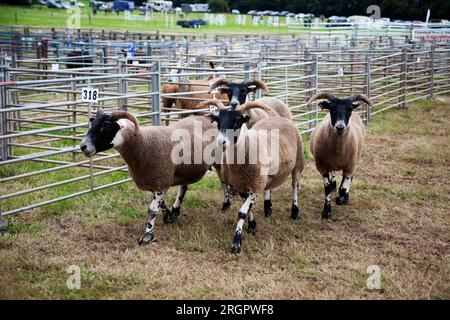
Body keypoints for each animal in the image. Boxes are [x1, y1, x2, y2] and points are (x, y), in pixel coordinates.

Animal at [79, 109, 223, 245]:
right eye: (92, 123)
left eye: (106, 126)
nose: (83, 146)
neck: (142, 142)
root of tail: (205, 118)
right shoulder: (157, 183)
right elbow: (162, 204)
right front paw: (168, 216)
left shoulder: (160, 183)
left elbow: (152, 210)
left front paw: (147, 235)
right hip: (186, 169)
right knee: (183, 188)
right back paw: (176, 210)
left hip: (218, 161)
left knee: (223, 183)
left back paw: (225, 205)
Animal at [200, 99, 306, 254]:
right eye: (218, 121)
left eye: (238, 122)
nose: (221, 142)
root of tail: (280, 118)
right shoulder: (242, 186)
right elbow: (248, 208)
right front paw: (252, 225)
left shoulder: (255, 186)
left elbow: (242, 211)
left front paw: (236, 243)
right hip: (266, 175)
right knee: (269, 186)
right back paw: (268, 208)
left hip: (297, 164)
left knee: (295, 186)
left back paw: (294, 211)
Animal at [308, 91, 374, 219]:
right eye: (332, 109)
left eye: (349, 110)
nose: (340, 127)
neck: (338, 152)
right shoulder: (322, 167)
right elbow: (327, 188)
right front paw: (327, 212)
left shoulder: (350, 166)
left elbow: (343, 188)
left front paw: (341, 199)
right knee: (333, 176)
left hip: (354, 160)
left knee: (348, 179)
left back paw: (345, 197)